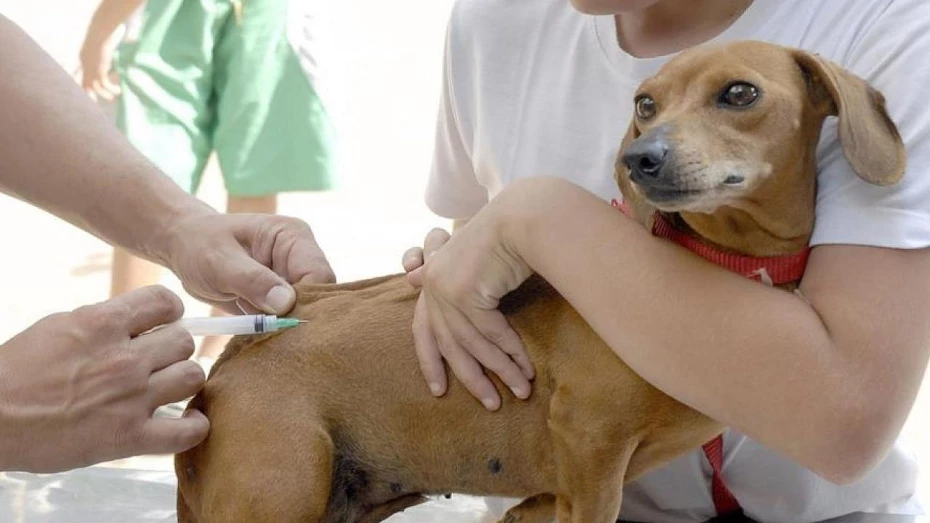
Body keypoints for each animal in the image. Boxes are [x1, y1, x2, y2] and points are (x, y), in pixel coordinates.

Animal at [172, 41, 900, 523]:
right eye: (645, 103)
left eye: (740, 93)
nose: (639, 159)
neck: (713, 263)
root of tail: (234, 354)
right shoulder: (591, 448)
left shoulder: (553, 495)